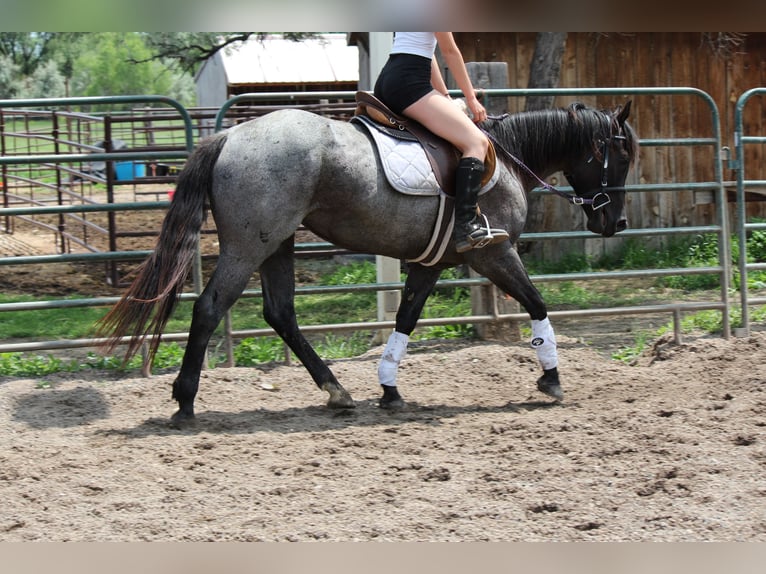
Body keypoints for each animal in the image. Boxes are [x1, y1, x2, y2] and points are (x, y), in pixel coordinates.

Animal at [97, 100, 638, 424]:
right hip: (249, 244)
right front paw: (552, 378)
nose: (615, 222)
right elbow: (537, 303)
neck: (504, 160)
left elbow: (406, 318)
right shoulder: (493, 252)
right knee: (210, 307)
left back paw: (336, 391)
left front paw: (389, 388)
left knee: (280, 313)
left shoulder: (430, 264)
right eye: (622, 156)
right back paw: (185, 401)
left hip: (277, 244)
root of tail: (230, 136)